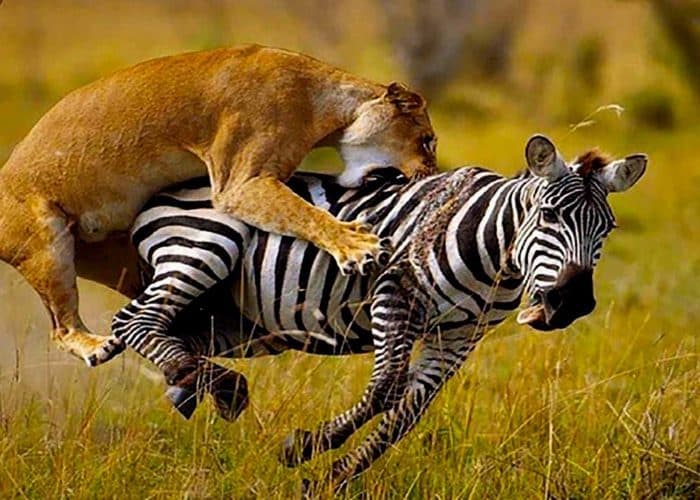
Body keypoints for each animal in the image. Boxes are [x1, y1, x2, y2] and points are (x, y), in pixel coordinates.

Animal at [0, 44, 437, 366]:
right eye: (428, 141)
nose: (432, 173)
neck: (327, 105)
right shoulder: (240, 183)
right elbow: (306, 213)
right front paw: (357, 246)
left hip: (113, 255)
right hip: (48, 244)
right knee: (61, 327)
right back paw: (96, 346)